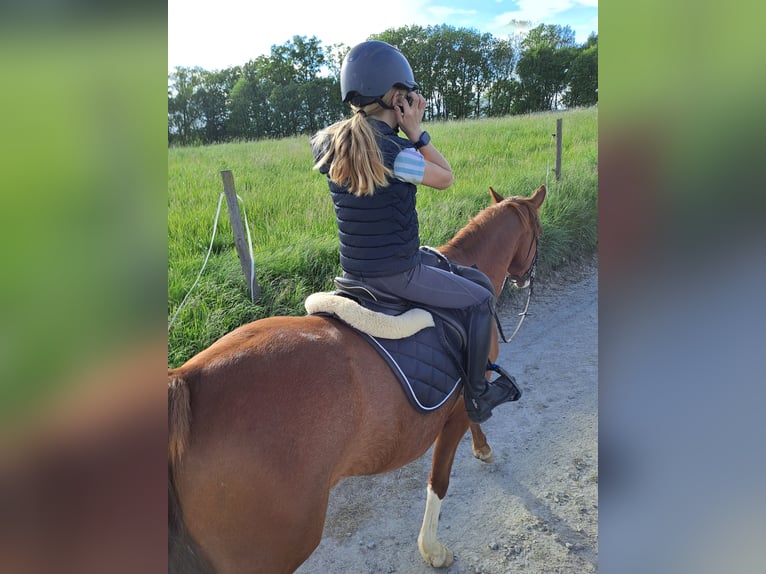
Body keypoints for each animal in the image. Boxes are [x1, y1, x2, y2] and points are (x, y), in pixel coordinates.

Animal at [170, 187, 544, 572]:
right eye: (538, 232)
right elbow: (440, 477)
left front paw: (483, 448)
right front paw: (433, 550)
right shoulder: (457, 409)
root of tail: (187, 379)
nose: (527, 277)